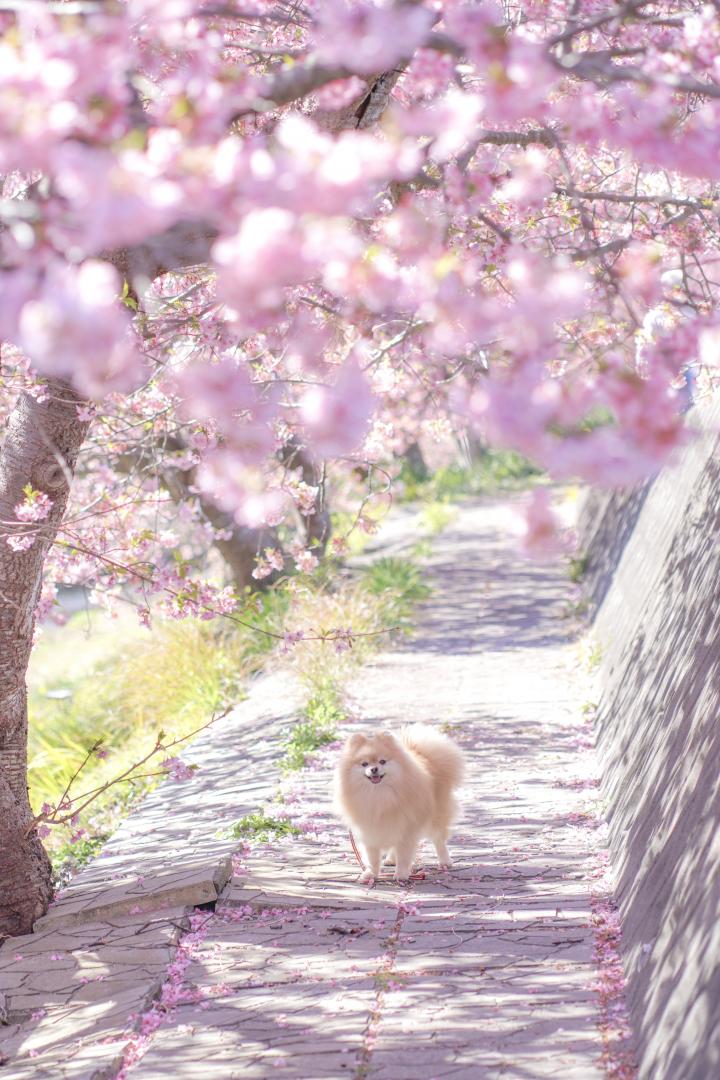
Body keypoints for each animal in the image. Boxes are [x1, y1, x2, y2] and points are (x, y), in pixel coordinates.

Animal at [334, 725, 464, 885]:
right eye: (364, 764)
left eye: (382, 761)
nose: (374, 769)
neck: (377, 794)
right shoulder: (369, 830)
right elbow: (372, 858)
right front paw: (371, 874)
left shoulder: (407, 828)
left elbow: (403, 854)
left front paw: (401, 874)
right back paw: (391, 859)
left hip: (436, 816)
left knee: (439, 840)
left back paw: (445, 861)